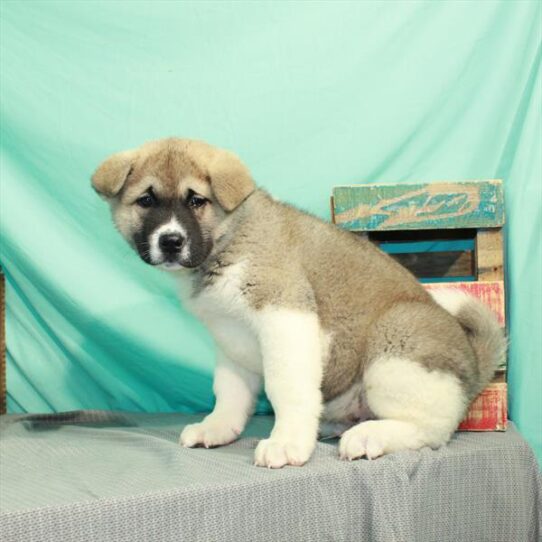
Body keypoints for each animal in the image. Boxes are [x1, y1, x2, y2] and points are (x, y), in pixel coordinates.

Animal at [91, 138, 508, 470]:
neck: (229, 242)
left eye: (196, 200)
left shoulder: (284, 316)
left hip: (397, 340)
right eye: (146, 200)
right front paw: (218, 427)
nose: (171, 241)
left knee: (431, 430)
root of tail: (474, 365)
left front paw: (286, 442)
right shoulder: (231, 340)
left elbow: (285, 389)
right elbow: (229, 393)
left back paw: (368, 435)